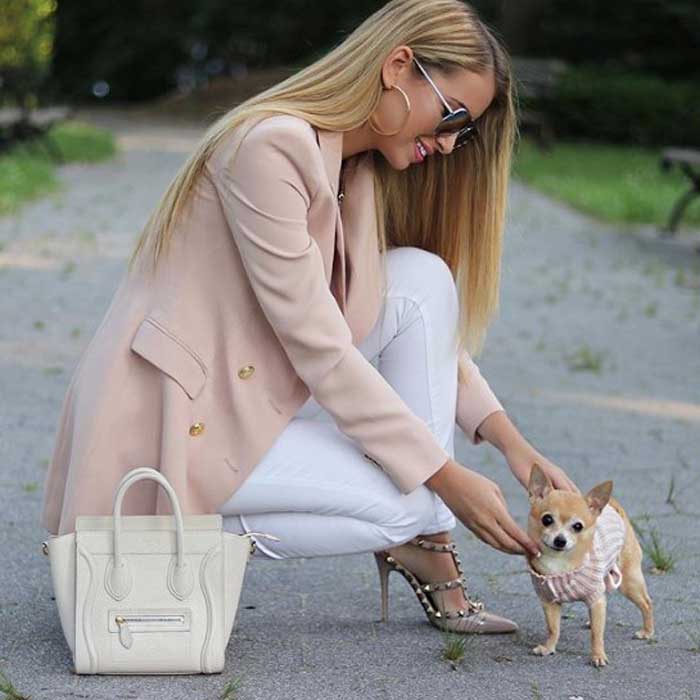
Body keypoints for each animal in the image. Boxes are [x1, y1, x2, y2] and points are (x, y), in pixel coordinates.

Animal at [528, 462, 652, 664]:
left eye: (578, 526)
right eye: (547, 519)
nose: (560, 540)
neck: (559, 562)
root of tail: (612, 505)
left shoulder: (595, 597)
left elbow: (597, 634)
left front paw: (598, 655)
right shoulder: (548, 601)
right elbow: (553, 628)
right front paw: (549, 647)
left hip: (629, 582)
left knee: (646, 603)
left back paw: (647, 632)